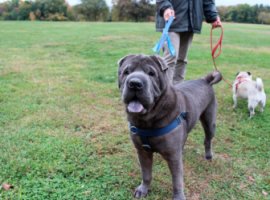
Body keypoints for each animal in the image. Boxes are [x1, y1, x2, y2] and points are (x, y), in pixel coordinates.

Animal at [117, 54, 221, 199]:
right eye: (126, 72)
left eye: (151, 73)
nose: (135, 83)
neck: (148, 120)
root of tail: (205, 80)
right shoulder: (142, 152)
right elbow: (146, 173)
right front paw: (143, 189)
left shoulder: (173, 157)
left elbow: (177, 180)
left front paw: (178, 197)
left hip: (210, 121)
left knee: (208, 139)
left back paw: (208, 156)